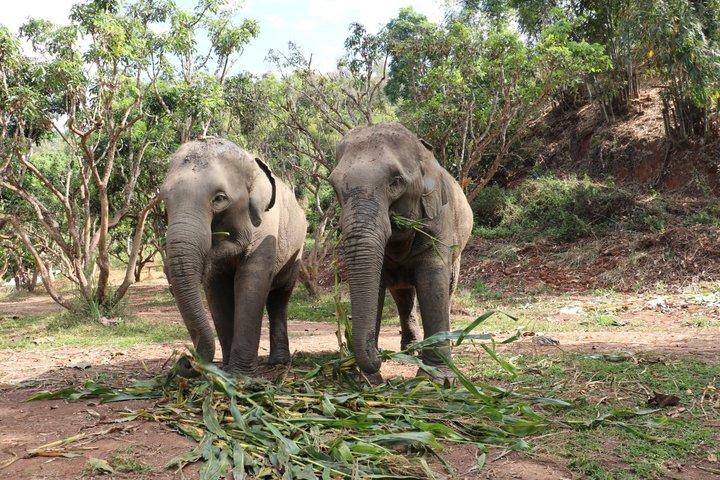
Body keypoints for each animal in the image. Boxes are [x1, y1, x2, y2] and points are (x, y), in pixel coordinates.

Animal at [161, 138, 307, 376]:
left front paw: (240, 376)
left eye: (219, 199)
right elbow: (216, 288)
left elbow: (251, 281)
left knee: (280, 296)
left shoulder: (266, 226)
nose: (184, 360)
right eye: (164, 199)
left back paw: (278, 363)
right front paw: (226, 371)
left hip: (297, 251)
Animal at [328, 122, 473, 379]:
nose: (378, 359)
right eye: (333, 185)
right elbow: (375, 287)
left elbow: (433, 281)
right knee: (403, 295)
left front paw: (436, 378)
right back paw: (410, 349)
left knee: (448, 286)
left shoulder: (439, 221)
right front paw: (365, 378)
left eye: (395, 182)